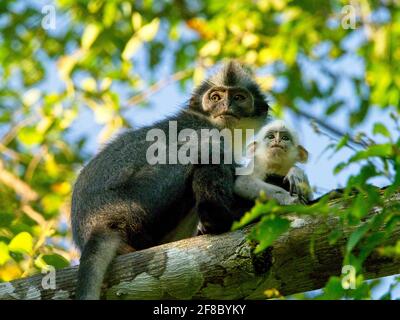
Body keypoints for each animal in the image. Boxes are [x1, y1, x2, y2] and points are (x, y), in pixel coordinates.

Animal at [71, 60, 294, 300]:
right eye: (215, 97)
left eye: (239, 97)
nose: (225, 105)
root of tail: (97, 225)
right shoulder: (206, 130)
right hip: (136, 204)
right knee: (206, 150)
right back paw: (220, 219)